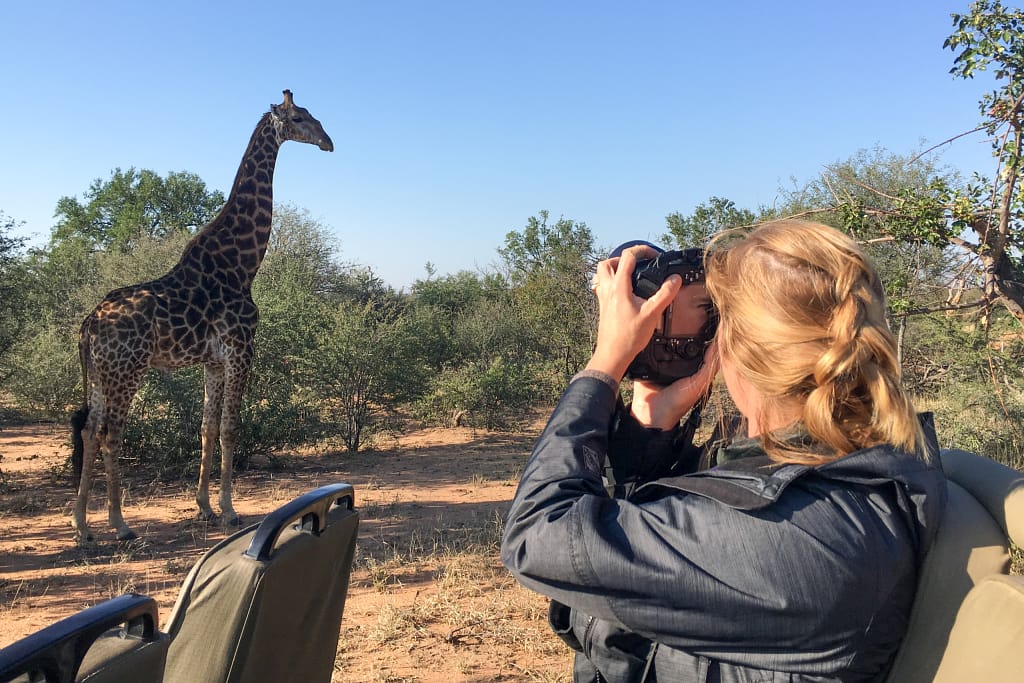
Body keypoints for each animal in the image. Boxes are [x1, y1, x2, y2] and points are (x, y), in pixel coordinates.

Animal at [70, 90, 333, 543]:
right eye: (300, 117)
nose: (328, 142)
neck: (243, 264)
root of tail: (89, 326)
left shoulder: (212, 360)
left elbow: (207, 428)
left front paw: (205, 506)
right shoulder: (242, 349)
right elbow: (230, 428)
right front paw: (229, 510)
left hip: (102, 375)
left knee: (89, 430)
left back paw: (83, 526)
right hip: (127, 370)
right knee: (111, 434)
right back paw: (119, 524)